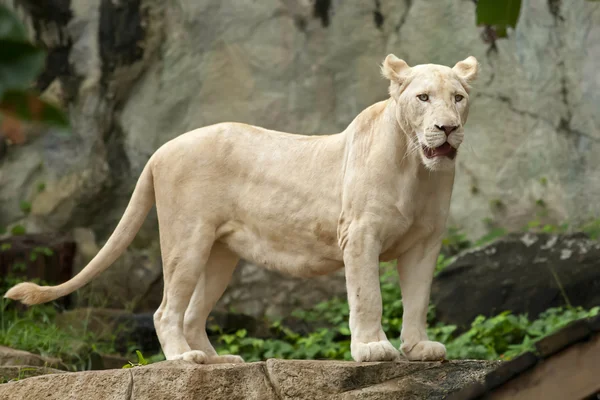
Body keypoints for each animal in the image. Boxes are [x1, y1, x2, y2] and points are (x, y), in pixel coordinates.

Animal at [4, 54, 478, 364]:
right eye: (423, 98)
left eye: (457, 98)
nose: (448, 128)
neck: (417, 171)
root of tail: (160, 150)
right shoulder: (360, 234)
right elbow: (368, 297)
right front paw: (372, 349)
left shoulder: (425, 243)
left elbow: (417, 299)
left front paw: (419, 349)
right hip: (187, 238)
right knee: (165, 310)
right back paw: (183, 360)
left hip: (219, 254)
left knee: (192, 314)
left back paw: (217, 361)